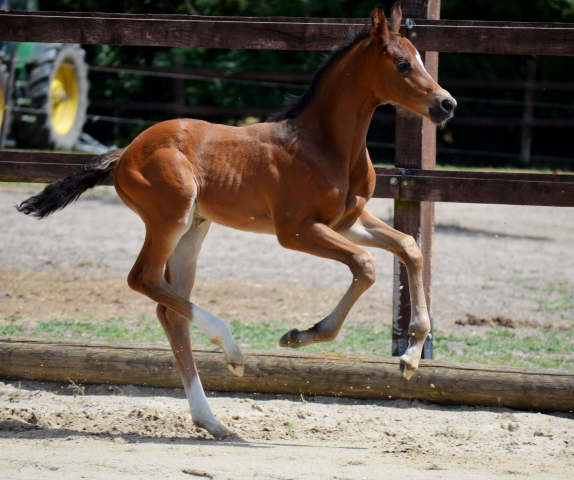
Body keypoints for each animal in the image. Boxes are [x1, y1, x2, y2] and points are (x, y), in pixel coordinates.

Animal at [16, 2, 454, 438]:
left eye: (420, 58)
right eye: (401, 64)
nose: (446, 104)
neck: (324, 144)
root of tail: (125, 153)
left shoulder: (346, 220)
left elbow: (409, 247)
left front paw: (411, 356)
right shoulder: (296, 230)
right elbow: (365, 264)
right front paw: (301, 336)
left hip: (193, 230)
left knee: (169, 309)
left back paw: (211, 420)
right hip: (171, 218)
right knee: (143, 278)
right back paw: (233, 352)